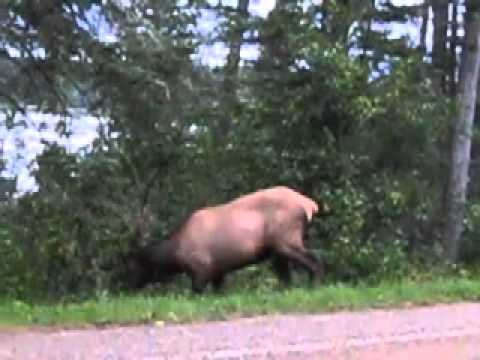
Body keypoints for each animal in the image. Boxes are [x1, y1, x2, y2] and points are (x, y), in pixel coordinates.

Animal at [123, 186, 330, 292]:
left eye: (133, 267)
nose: (127, 287)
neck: (174, 255)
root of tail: (310, 205)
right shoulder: (218, 271)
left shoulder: (201, 270)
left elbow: (197, 293)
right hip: (277, 248)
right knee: (286, 274)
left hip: (286, 240)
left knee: (314, 260)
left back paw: (314, 287)